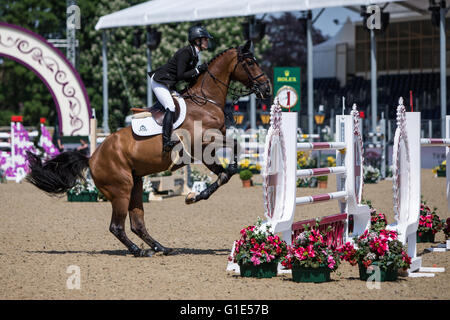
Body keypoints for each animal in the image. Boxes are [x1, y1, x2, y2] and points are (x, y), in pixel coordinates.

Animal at [26, 40, 272, 258]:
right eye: (250, 62)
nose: (267, 88)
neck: (206, 101)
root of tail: (92, 157)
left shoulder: (204, 151)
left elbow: (224, 174)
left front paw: (194, 196)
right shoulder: (204, 142)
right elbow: (235, 149)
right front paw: (197, 193)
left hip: (135, 186)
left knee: (137, 225)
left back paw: (161, 248)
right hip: (121, 189)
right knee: (117, 226)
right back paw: (140, 251)